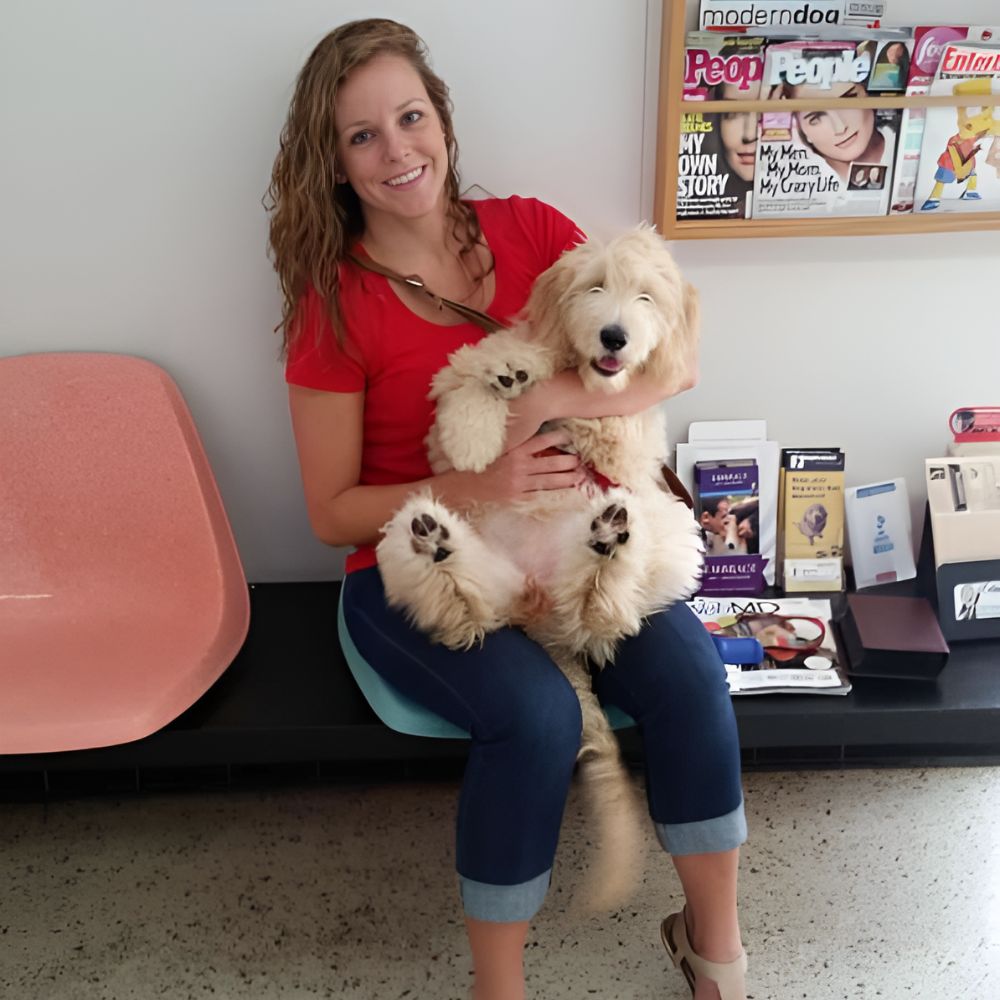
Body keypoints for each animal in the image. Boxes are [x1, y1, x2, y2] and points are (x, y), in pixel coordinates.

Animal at [374, 229, 704, 916]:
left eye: (646, 298)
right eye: (595, 287)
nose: (614, 337)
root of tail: (539, 608)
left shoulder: (634, 438)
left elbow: (617, 431)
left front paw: (580, 412)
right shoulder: (455, 387)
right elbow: (467, 392)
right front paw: (503, 391)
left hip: (674, 527)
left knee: (604, 611)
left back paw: (607, 550)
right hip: (461, 564)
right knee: (462, 609)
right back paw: (435, 545)